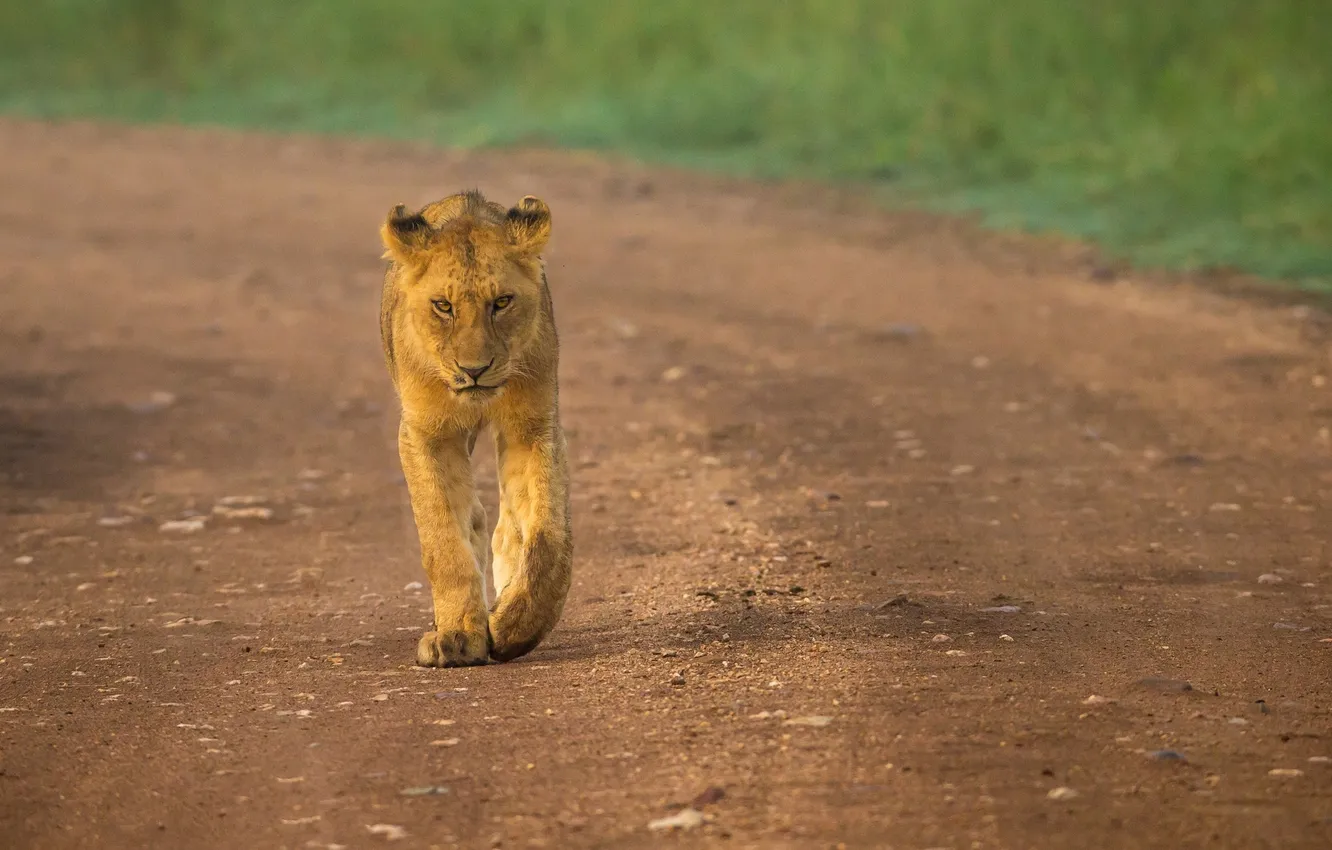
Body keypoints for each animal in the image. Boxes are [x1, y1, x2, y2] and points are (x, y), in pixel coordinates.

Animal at [378, 189, 572, 666]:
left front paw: (515, 626)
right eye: (443, 306)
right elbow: (444, 537)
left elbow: (546, 535)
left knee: (508, 527)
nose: (475, 370)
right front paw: (458, 635)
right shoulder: (428, 433)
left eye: (501, 302)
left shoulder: (533, 427)